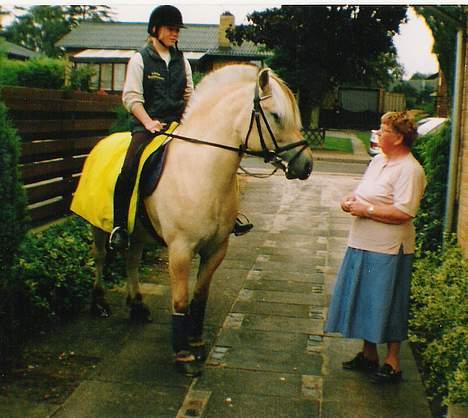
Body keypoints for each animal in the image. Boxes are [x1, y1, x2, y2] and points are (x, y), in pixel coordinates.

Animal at [81, 64, 314, 376]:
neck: (203, 171)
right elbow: (180, 298)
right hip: (97, 225)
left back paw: (138, 306)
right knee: (100, 257)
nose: (307, 165)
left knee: (132, 259)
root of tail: (103, 142)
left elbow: (200, 295)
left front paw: (195, 341)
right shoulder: (180, 249)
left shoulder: (216, 249)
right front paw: (183, 355)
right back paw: (99, 304)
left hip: (139, 229)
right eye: (276, 115)